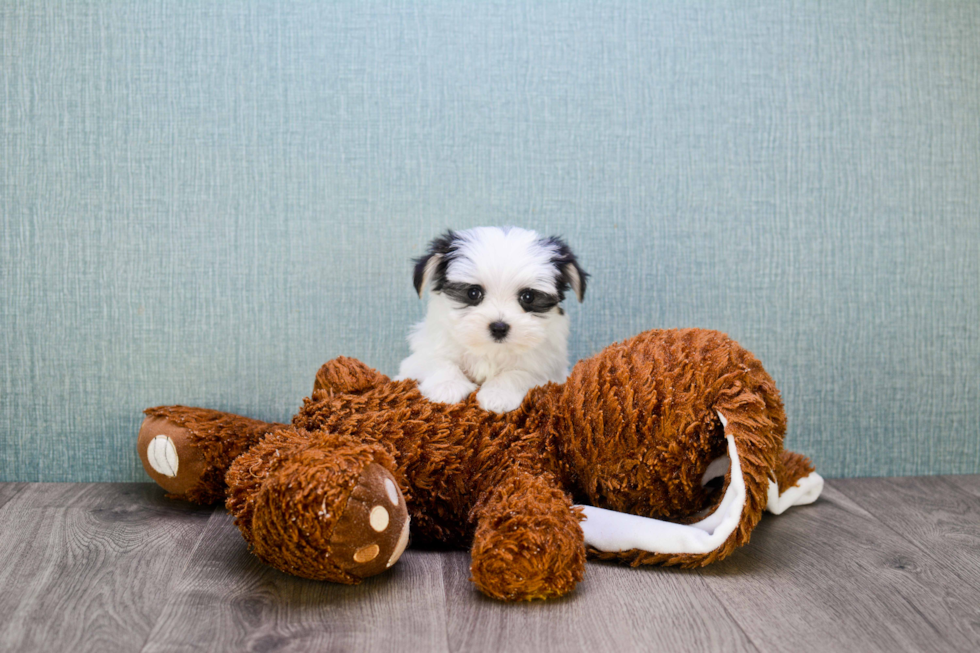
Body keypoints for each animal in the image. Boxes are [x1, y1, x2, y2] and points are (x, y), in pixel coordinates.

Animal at [394, 227, 584, 412]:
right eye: (473, 293)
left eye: (528, 297)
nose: (499, 327)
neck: (492, 351)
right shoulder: (419, 356)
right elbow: (437, 361)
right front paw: (448, 386)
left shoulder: (549, 372)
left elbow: (520, 373)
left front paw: (498, 394)